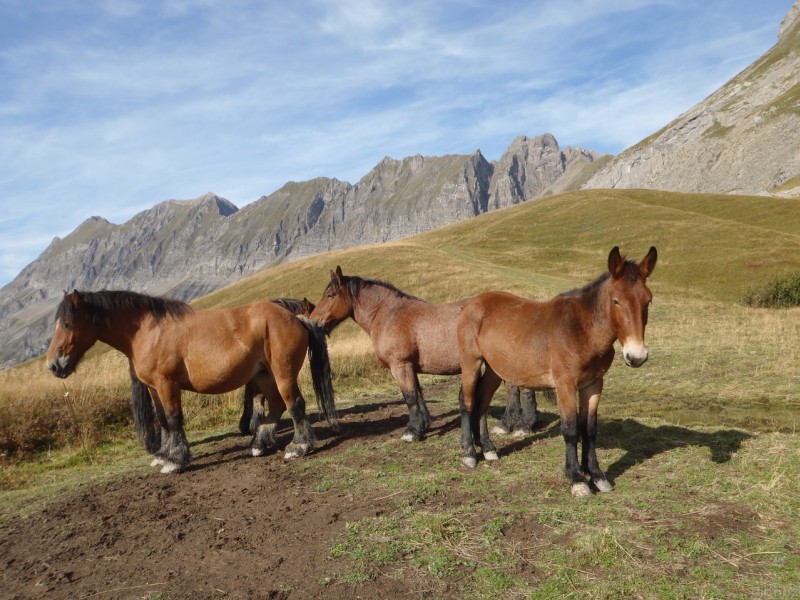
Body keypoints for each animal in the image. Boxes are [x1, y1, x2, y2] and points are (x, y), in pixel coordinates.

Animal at [46, 290, 337, 473]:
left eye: (68, 323)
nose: (54, 365)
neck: (147, 331)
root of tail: (295, 318)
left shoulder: (166, 384)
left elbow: (174, 418)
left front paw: (175, 460)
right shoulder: (154, 388)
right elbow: (163, 420)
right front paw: (164, 454)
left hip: (282, 374)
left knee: (294, 403)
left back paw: (299, 446)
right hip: (264, 376)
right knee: (277, 405)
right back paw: (258, 445)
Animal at [309, 267, 540, 442]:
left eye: (330, 295)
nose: (312, 322)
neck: (388, 314)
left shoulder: (400, 365)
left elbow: (410, 397)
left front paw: (412, 431)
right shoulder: (410, 367)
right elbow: (418, 395)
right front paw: (424, 424)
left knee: (517, 390)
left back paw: (515, 426)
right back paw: (521, 424)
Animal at [456, 246, 657, 497]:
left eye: (648, 300)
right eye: (616, 301)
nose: (637, 356)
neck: (581, 331)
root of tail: (471, 304)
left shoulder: (593, 385)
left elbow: (589, 430)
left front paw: (597, 476)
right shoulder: (565, 385)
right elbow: (571, 430)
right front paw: (577, 479)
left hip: (495, 369)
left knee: (481, 402)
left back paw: (488, 449)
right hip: (471, 363)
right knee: (468, 402)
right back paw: (469, 454)